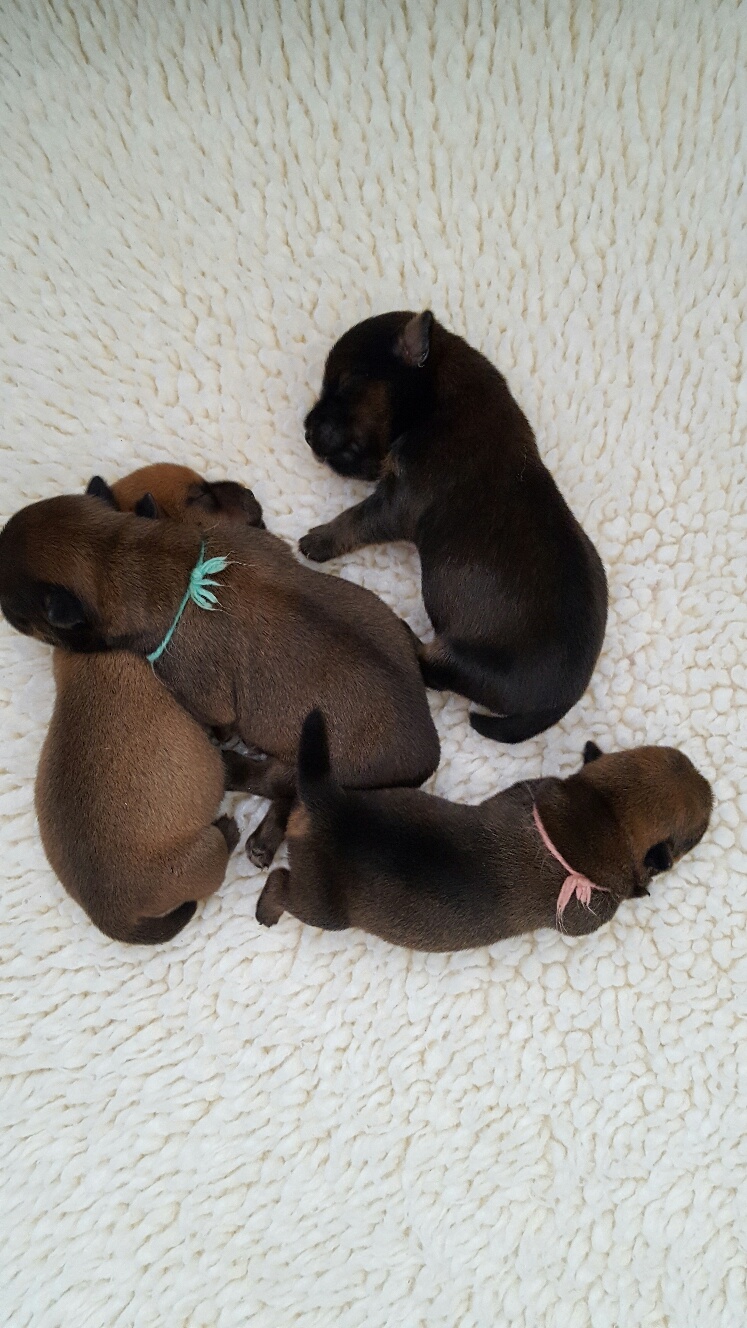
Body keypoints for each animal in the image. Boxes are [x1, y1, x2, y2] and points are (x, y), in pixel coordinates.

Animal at [0, 483, 440, 867]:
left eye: (16, 617)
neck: (131, 555)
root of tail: (430, 752)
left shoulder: (203, 697)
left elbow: (218, 722)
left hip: (315, 762)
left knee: (279, 786)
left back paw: (243, 789)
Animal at [256, 713, 712, 951]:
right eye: (694, 836)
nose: (708, 784)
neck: (602, 816)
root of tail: (327, 801)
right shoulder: (588, 915)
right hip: (323, 906)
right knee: (281, 882)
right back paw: (267, 909)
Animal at [300, 311, 608, 744]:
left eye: (344, 384)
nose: (306, 431)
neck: (434, 396)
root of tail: (562, 703)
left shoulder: (399, 501)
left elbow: (354, 520)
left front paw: (317, 540)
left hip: (463, 659)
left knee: (432, 671)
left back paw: (399, 628)